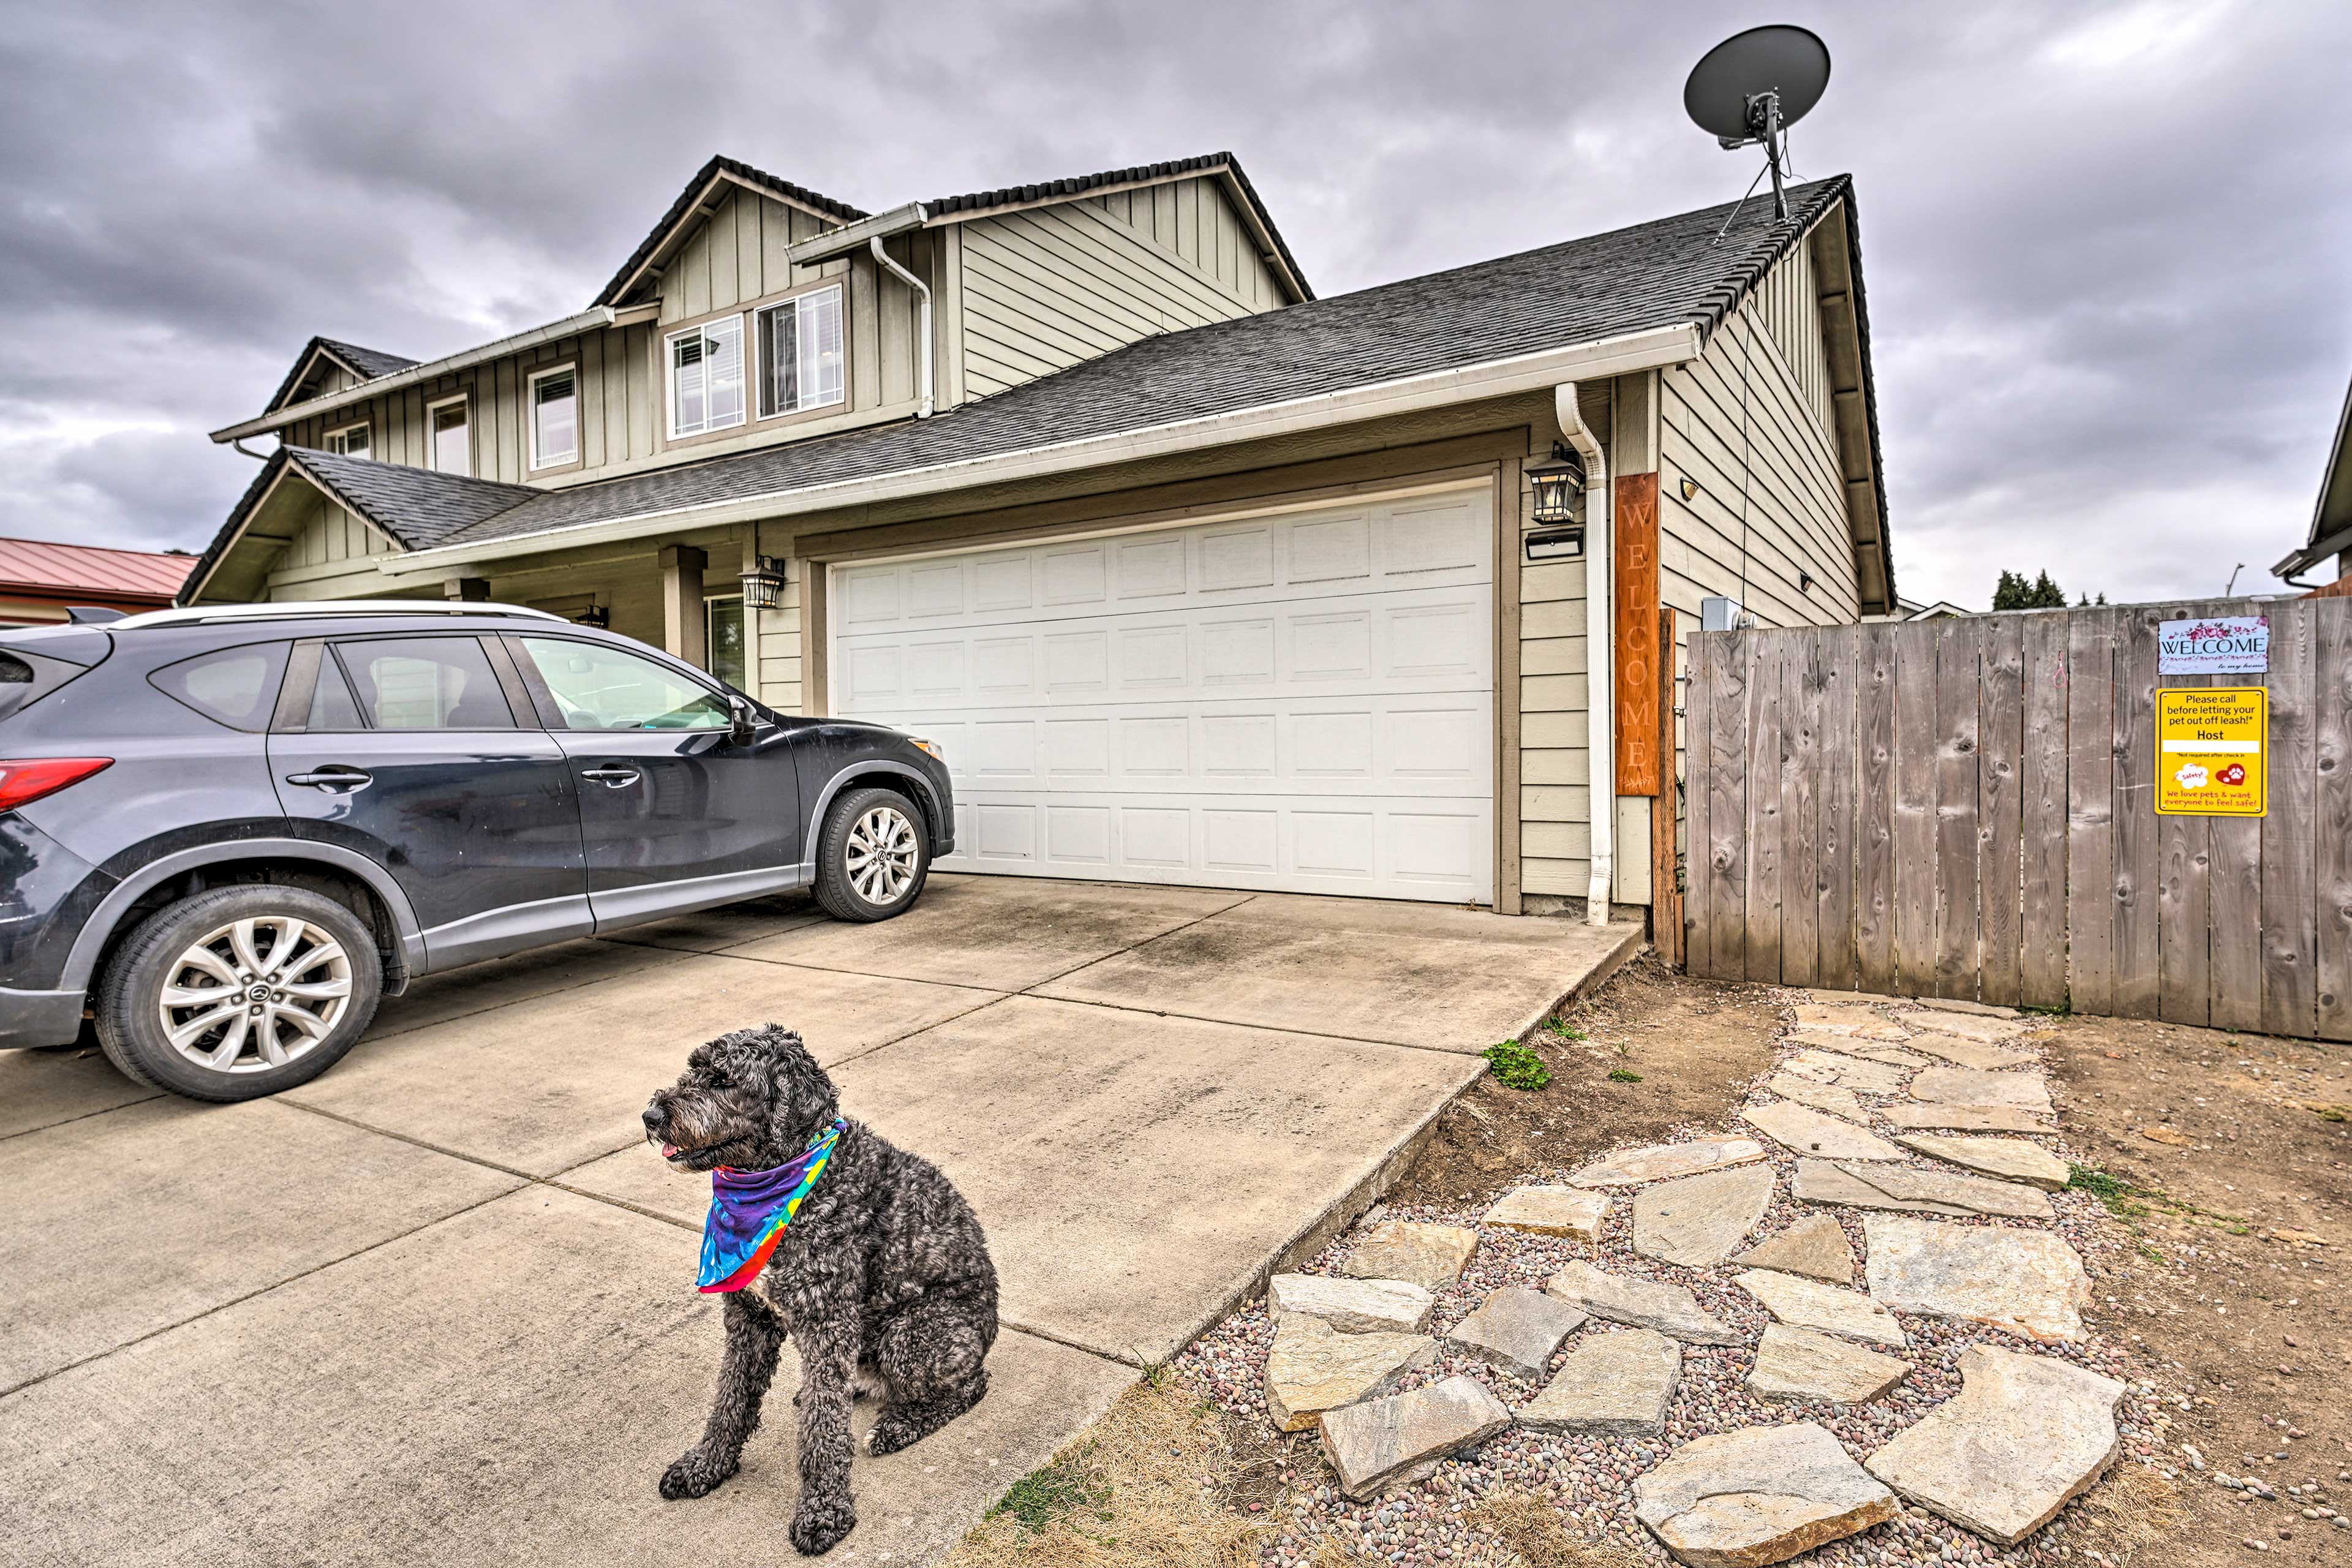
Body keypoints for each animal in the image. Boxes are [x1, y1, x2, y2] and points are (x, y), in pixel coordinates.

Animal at [639, 1025, 997, 1551]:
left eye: (724, 1080)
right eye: (693, 1070)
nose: (652, 1116)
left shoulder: (827, 1321)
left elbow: (823, 1432)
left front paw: (824, 1511)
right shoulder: (750, 1317)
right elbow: (731, 1400)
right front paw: (706, 1466)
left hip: (913, 1335)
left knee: (968, 1386)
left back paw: (898, 1427)